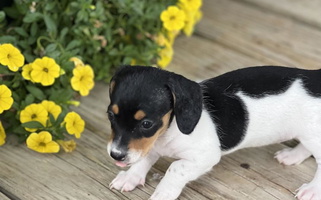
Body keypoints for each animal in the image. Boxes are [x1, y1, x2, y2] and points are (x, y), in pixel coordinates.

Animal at [107, 66, 320, 200]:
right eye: (110, 115)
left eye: (146, 123)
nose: (116, 155)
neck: (170, 129)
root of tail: (315, 78)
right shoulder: (149, 145)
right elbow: (143, 159)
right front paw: (130, 177)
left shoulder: (205, 156)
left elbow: (175, 168)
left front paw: (164, 193)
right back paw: (292, 156)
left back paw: (312, 189)